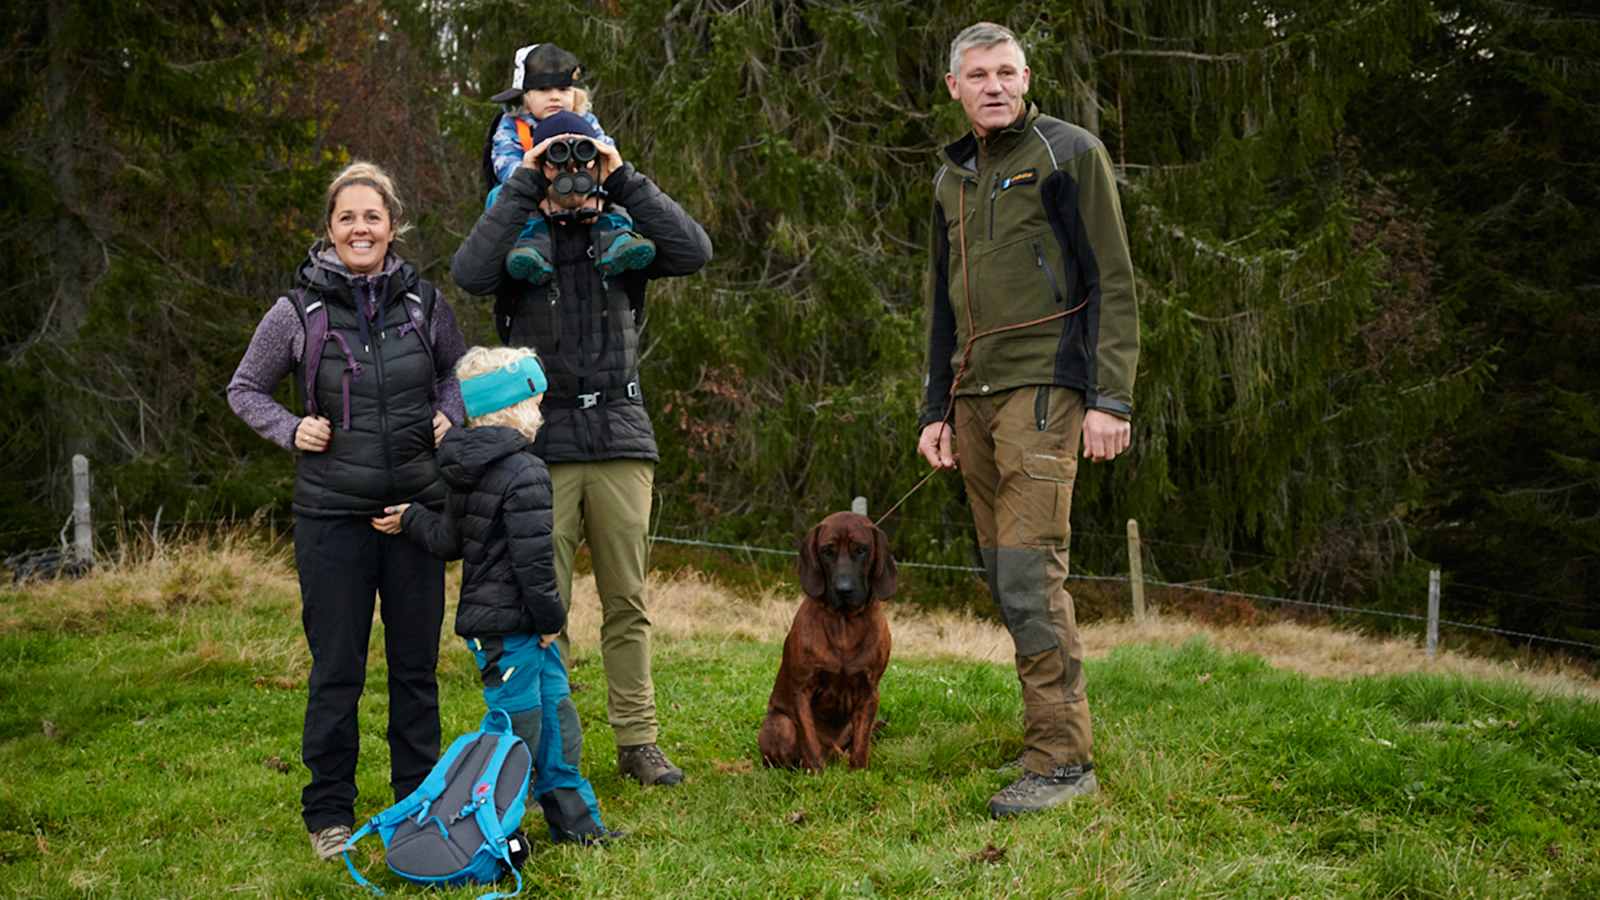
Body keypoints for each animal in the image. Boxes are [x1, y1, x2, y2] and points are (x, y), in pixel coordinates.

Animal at [755, 509, 896, 768]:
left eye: (861, 550)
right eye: (827, 551)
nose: (844, 589)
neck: (844, 624)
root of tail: (833, 751)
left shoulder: (869, 693)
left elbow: (861, 745)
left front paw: (858, 773)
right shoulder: (802, 690)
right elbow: (809, 742)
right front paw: (816, 772)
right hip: (779, 724)